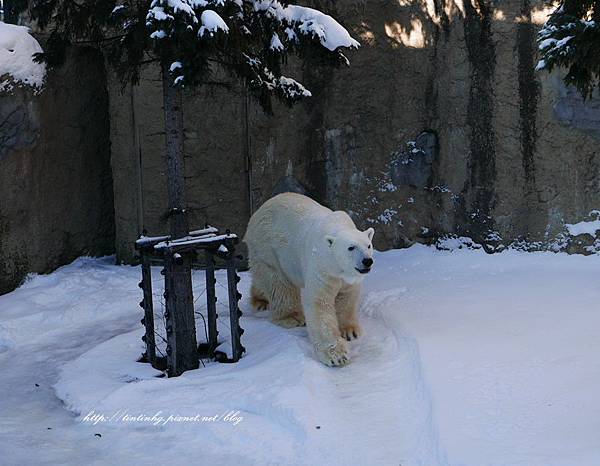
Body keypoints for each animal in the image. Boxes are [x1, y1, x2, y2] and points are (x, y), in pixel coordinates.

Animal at [241, 191, 372, 366]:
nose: (367, 261)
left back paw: (260, 300)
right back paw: (291, 317)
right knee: (279, 285)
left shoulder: (349, 279)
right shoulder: (322, 267)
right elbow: (319, 304)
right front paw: (336, 356)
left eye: (368, 245)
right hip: (269, 249)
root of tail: (257, 213)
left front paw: (350, 331)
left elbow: (347, 298)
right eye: (351, 247)